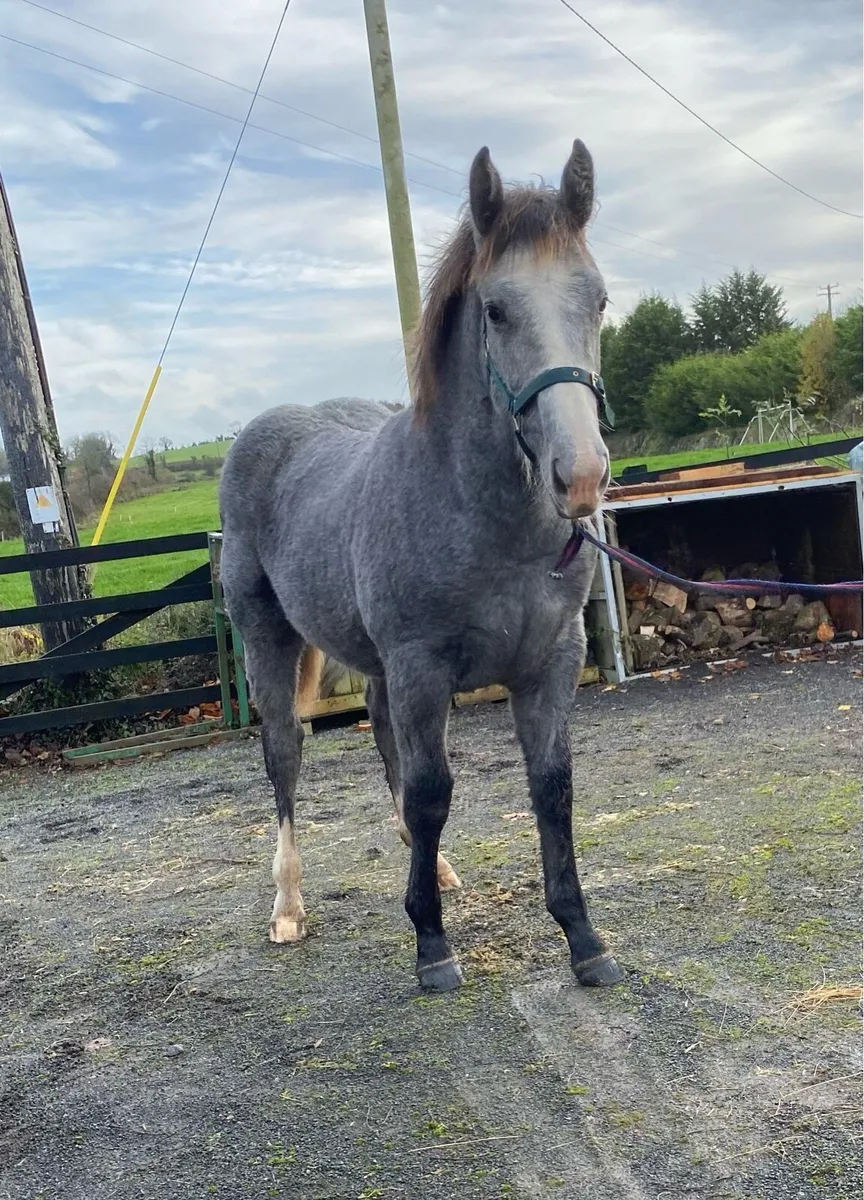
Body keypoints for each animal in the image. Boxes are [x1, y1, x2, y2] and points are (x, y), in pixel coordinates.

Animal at [219, 139, 623, 993]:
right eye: (496, 310)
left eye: (598, 300)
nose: (580, 477)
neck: (486, 522)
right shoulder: (421, 667)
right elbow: (434, 791)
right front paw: (432, 948)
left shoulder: (550, 663)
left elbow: (552, 789)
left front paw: (583, 938)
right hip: (270, 644)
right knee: (285, 756)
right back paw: (288, 906)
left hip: (376, 670)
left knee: (383, 748)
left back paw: (431, 870)